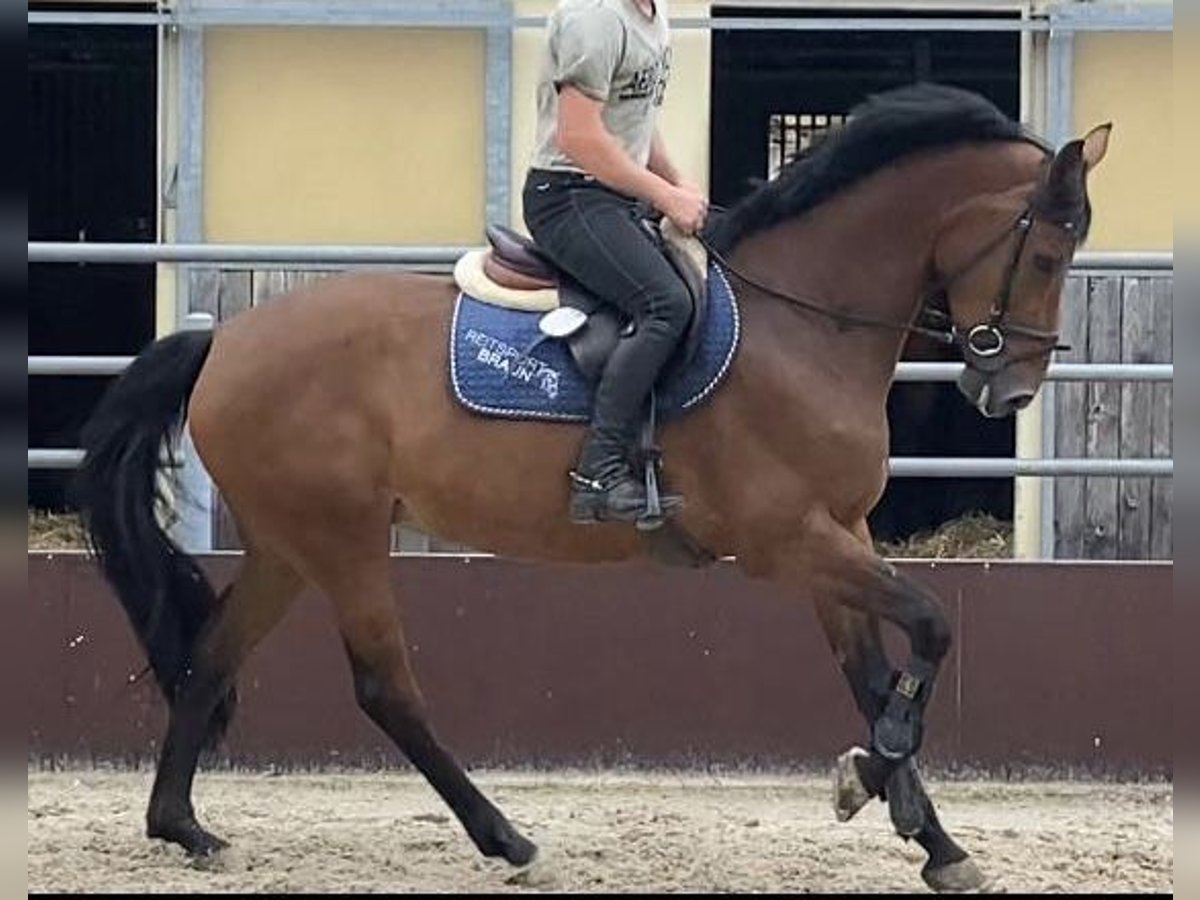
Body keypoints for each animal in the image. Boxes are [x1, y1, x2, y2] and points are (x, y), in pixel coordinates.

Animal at [70, 86, 1108, 897]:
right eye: (1046, 256)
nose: (1010, 391)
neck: (802, 327)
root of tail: (224, 340)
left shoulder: (838, 536)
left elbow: (871, 674)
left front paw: (929, 835)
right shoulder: (789, 540)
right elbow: (931, 625)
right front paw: (875, 779)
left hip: (290, 545)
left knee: (209, 657)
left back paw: (183, 827)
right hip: (344, 540)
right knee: (384, 687)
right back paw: (508, 839)